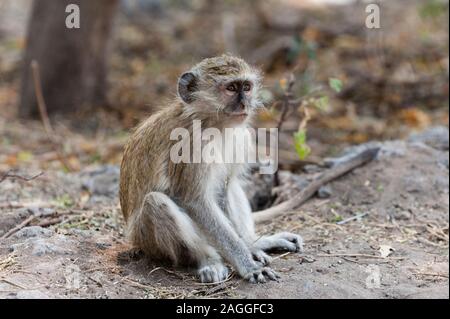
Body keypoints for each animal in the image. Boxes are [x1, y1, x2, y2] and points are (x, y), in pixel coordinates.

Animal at [119, 55, 302, 284]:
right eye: (231, 88)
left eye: (246, 87)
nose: (244, 103)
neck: (214, 123)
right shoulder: (192, 145)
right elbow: (195, 202)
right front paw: (248, 265)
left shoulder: (241, 136)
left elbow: (224, 189)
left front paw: (250, 248)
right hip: (146, 240)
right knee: (155, 202)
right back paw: (209, 261)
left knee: (232, 187)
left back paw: (253, 243)